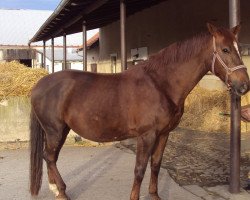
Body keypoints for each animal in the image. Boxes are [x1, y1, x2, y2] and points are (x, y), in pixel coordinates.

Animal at [30, 23, 249, 200]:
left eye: (239, 48)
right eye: (225, 49)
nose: (244, 85)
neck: (160, 84)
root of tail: (39, 84)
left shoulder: (163, 134)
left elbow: (156, 165)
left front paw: (154, 195)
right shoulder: (146, 135)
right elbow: (140, 169)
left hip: (61, 130)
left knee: (50, 157)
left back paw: (56, 189)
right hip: (54, 130)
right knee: (49, 157)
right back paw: (61, 192)